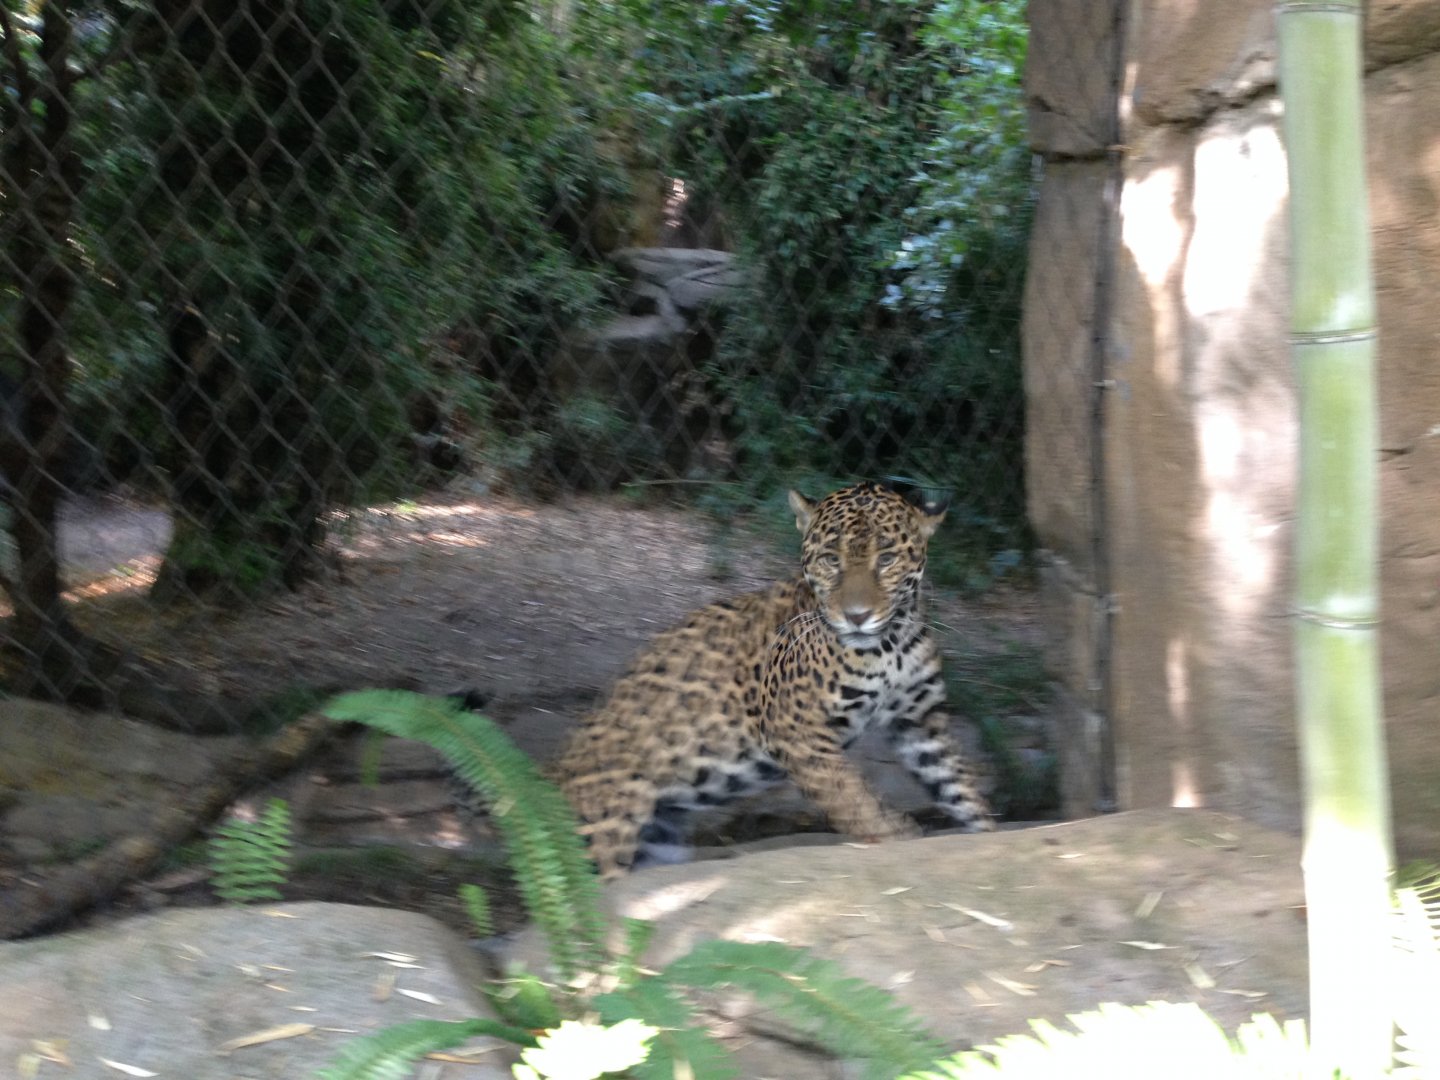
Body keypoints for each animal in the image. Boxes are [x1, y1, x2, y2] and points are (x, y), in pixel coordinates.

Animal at [550, 481, 994, 877]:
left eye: (886, 559)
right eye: (831, 559)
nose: (856, 616)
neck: (891, 643)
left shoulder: (920, 722)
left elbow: (960, 788)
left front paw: (988, 840)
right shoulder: (798, 732)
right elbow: (855, 801)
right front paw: (897, 838)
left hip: (658, 845)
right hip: (604, 835)